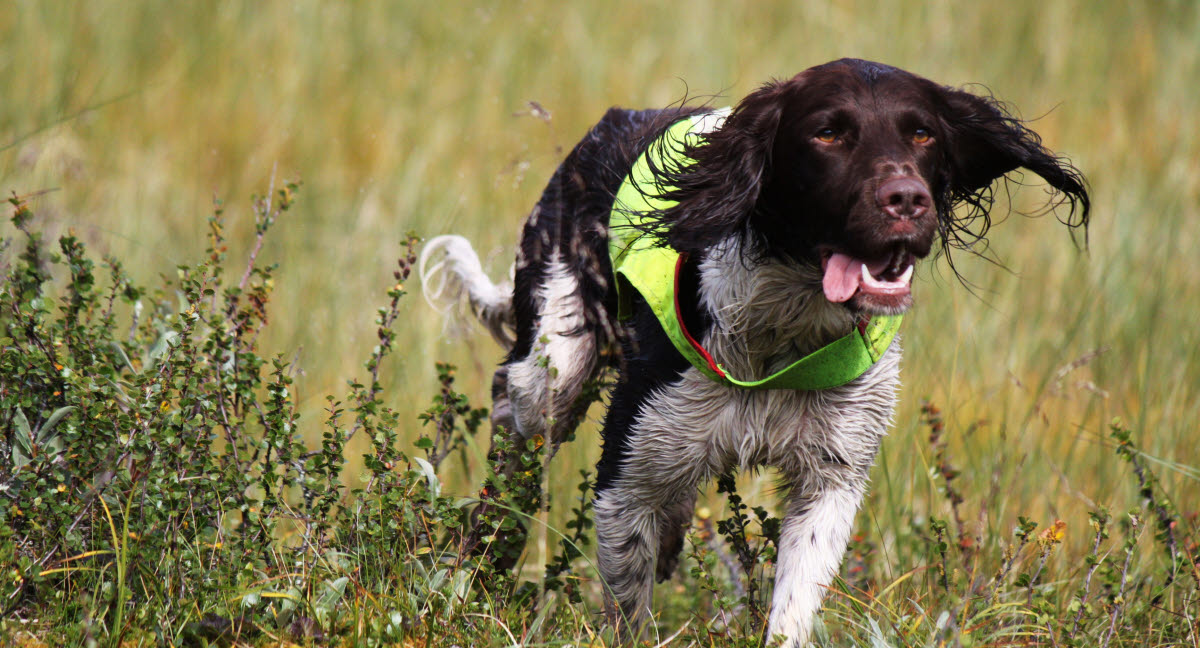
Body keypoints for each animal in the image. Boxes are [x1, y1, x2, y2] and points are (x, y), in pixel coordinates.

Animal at [420, 59, 1089, 643]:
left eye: (922, 132)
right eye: (827, 132)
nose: (907, 199)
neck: (780, 336)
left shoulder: (831, 480)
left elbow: (793, 604)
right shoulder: (628, 473)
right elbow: (627, 604)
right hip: (553, 368)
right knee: (514, 420)